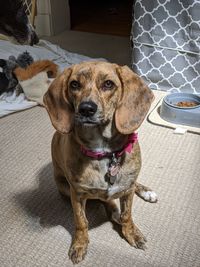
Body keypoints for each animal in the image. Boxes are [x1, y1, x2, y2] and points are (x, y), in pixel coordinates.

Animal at [43, 61, 158, 264]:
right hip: (64, 188)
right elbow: (81, 221)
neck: (104, 152)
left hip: (129, 182)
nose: (86, 109)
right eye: (74, 84)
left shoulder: (127, 190)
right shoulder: (77, 194)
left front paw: (132, 233)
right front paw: (80, 244)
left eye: (108, 84)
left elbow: (127, 215)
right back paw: (113, 210)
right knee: (106, 202)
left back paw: (145, 192)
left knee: (130, 186)